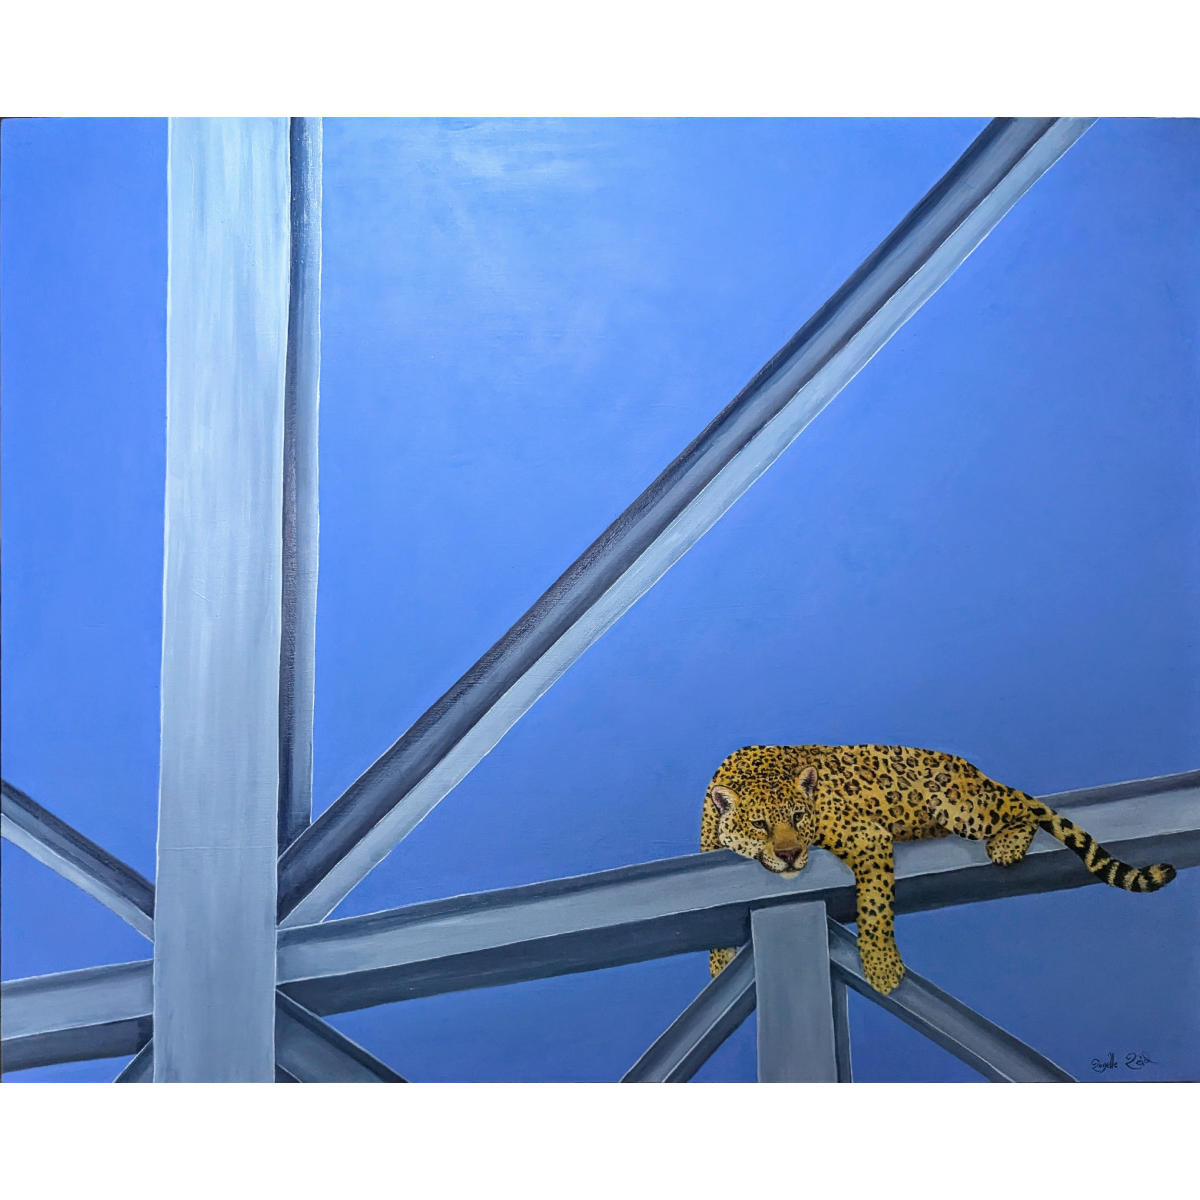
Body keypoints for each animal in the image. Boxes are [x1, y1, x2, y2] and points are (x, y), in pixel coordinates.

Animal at [701, 744, 1177, 995]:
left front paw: (881, 968)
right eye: (760, 825)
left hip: (964, 808)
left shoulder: (867, 837)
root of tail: (972, 768)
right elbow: (718, 946)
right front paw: (722, 973)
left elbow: (874, 908)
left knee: (1024, 807)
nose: (789, 855)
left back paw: (1006, 844)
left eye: (799, 817)